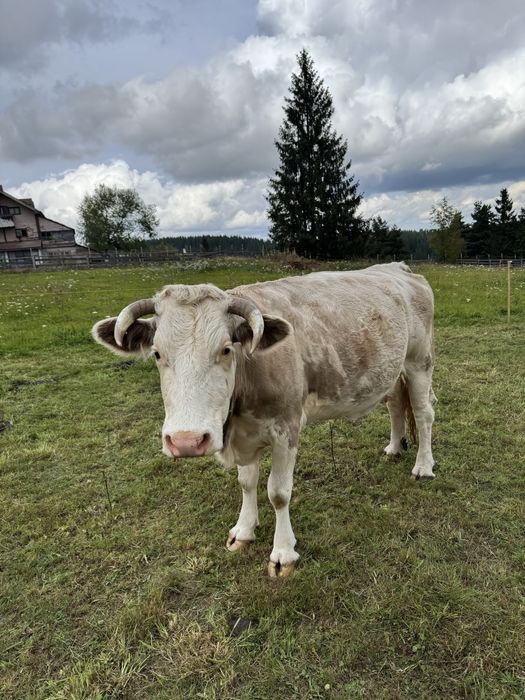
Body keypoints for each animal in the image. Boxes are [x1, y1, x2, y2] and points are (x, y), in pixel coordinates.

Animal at [92, 262, 435, 577]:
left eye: (226, 349)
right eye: (157, 354)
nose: (186, 441)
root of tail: (397, 268)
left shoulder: (287, 428)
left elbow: (278, 493)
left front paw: (283, 552)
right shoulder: (244, 434)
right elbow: (246, 482)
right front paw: (244, 530)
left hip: (419, 361)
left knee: (423, 412)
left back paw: (423, 466)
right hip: (391, 371)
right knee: (395, 405)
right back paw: (394, 447)